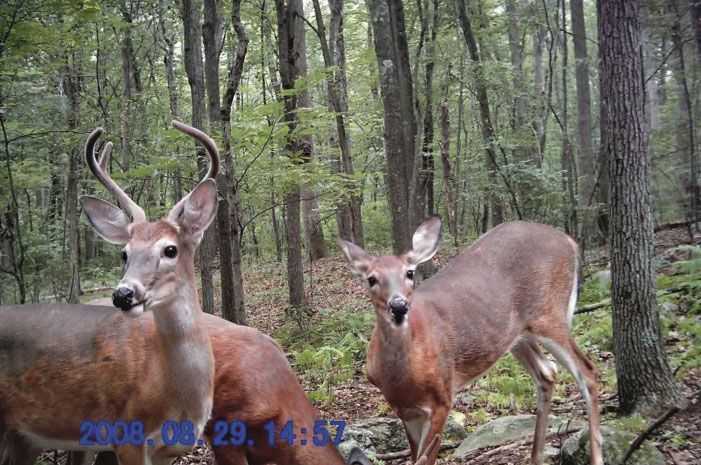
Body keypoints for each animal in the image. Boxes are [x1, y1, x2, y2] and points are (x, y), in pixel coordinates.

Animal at [0, 121, 219, 462]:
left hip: (24, 438)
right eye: (124, 253)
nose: (123, 294)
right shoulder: (127, 435)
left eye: (170, 250)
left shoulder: (170, 450)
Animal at [340, 218, 600, 464]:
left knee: (587, 371)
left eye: (409, 273)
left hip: (549, 314)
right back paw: (536, 457)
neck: (402, 377)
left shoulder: (443, 396)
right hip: (517, 335)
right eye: (371, 279)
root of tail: (569, 241)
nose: (398, 305)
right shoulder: (406, 411)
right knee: (547, 371)